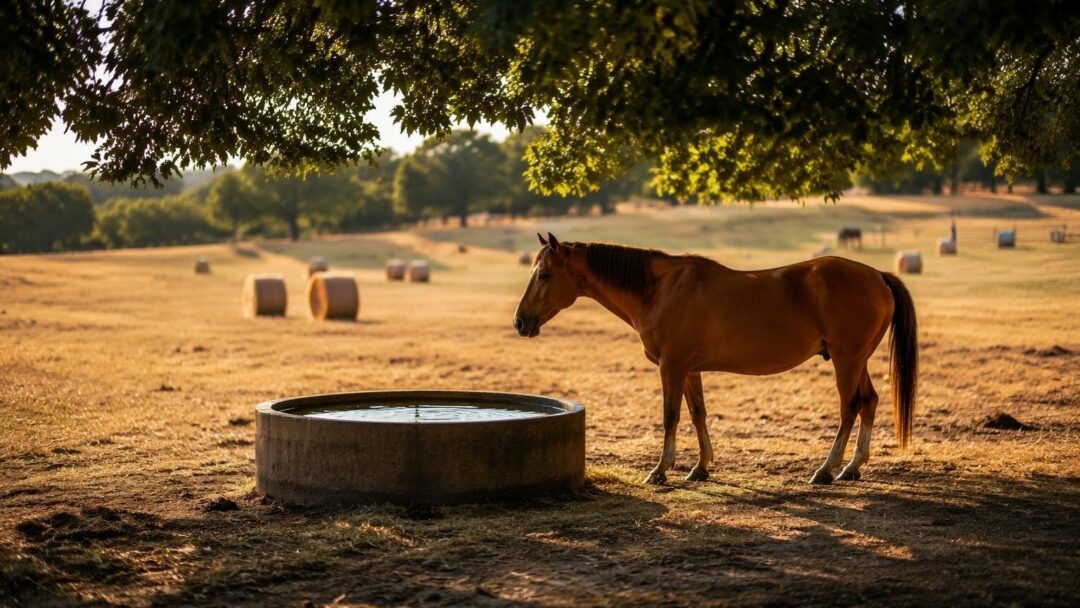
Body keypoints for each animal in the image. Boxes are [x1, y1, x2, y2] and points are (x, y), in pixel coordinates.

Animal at [514, 233, 917, 485]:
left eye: (545, 274)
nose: (520, 321)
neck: (659, 290)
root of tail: (877, 275)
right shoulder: (690, 369)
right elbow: (698, 414)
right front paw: (700, 467)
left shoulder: (672, 366)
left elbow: (671, 416)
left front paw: (661, 470)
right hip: (856, 360)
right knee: (869, 402)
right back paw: (852, 467)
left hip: (846, 361)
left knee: (850, 407)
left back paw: (826, 470)